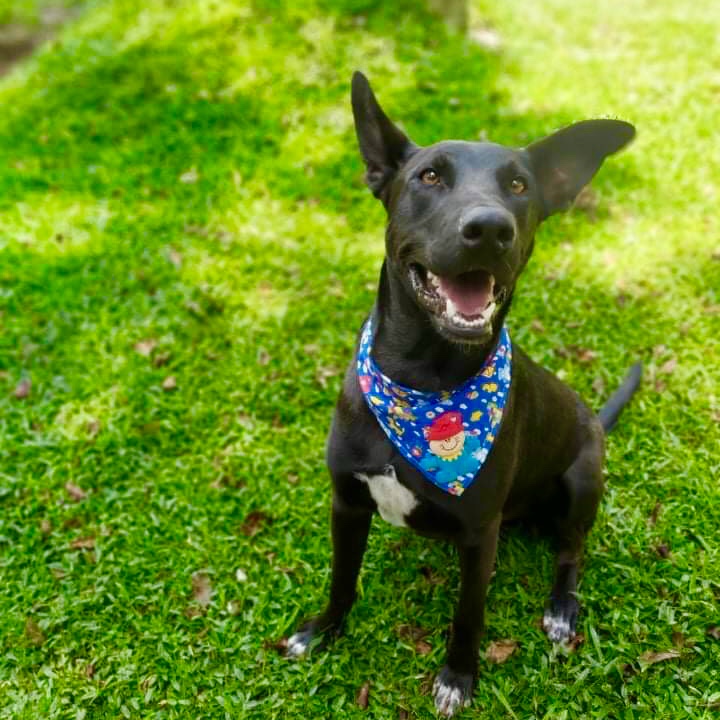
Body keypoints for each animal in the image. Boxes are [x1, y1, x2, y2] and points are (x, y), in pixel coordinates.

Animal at [286, 71, 640, 716]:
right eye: (429, 176)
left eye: (519, 185)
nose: (490, 228)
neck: (423, 385)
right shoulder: (346, 502)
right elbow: (342, 578)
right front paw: (322, 630)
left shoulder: (480, 535)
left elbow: (468, 616)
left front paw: (458, 677)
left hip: (583, 478)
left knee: (571, 551)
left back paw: (560, 608)